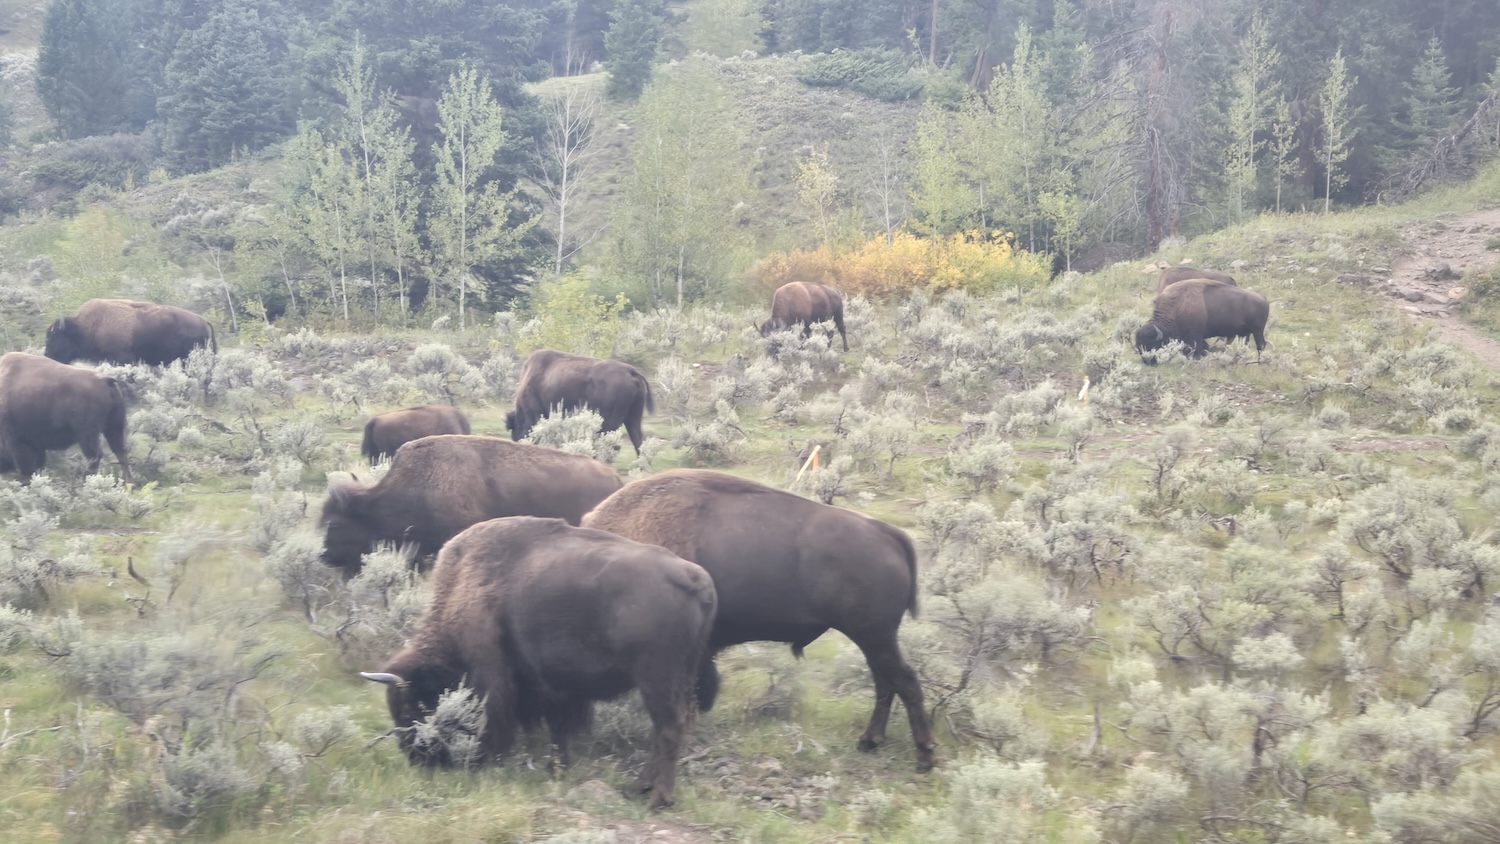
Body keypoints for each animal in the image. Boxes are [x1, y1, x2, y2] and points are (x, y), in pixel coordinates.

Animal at [0, 352, 131, 485]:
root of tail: (105, 380)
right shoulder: (36, 445)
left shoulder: (16, 441)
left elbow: (26, 466)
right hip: (114, 427)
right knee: (120, 452)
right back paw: (128, 483)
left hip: (88, 433)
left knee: (95, 455)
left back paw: (84, 482)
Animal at [361, 516, 716, 809]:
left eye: (410, 708)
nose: (417, 759)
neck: (465, 586)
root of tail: (695, 578)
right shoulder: (552, 685)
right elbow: (557, 726)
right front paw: (556, 766)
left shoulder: (495, 676)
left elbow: (502, 719)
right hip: (680, 677)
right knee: (666, 730)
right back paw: (638, 788)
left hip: (656, 679)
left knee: (667, 730)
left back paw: (658, 798)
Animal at [582, 468, 935, 771]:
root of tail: (889, 533)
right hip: (873, 638)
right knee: (885, 682)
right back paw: (870, 741)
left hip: (874, 635)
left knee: (904, 681)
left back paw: (924, 756)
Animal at [1135, 278, 1270, 362]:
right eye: (1138, 345)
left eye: (1152, 345)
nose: (1147, 361)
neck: (1177, 306)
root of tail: (1263, 299)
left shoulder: (1194, 336)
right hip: (1245, 333)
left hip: (1257, 330)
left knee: (1261, 345)